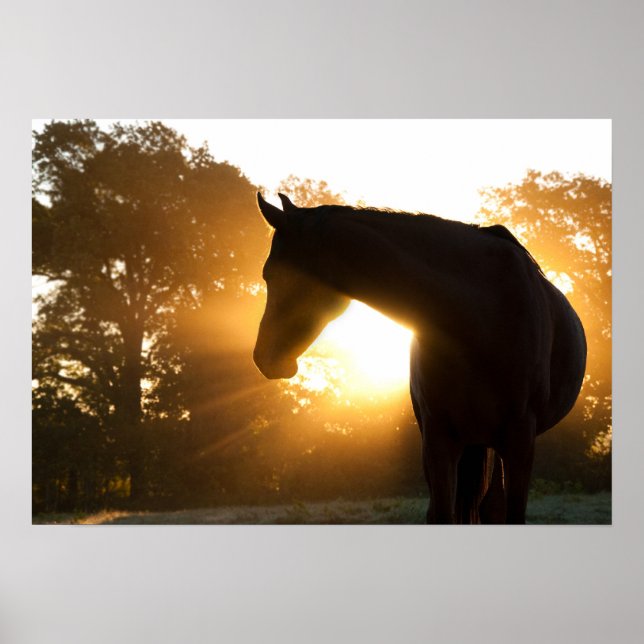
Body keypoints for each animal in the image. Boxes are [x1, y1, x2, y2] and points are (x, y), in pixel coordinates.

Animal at [253, 192, 587, 524]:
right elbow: (441, 514)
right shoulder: (437, 437)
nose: (262, 357)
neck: (481, 315)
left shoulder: (520, 440)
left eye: (272, 274)